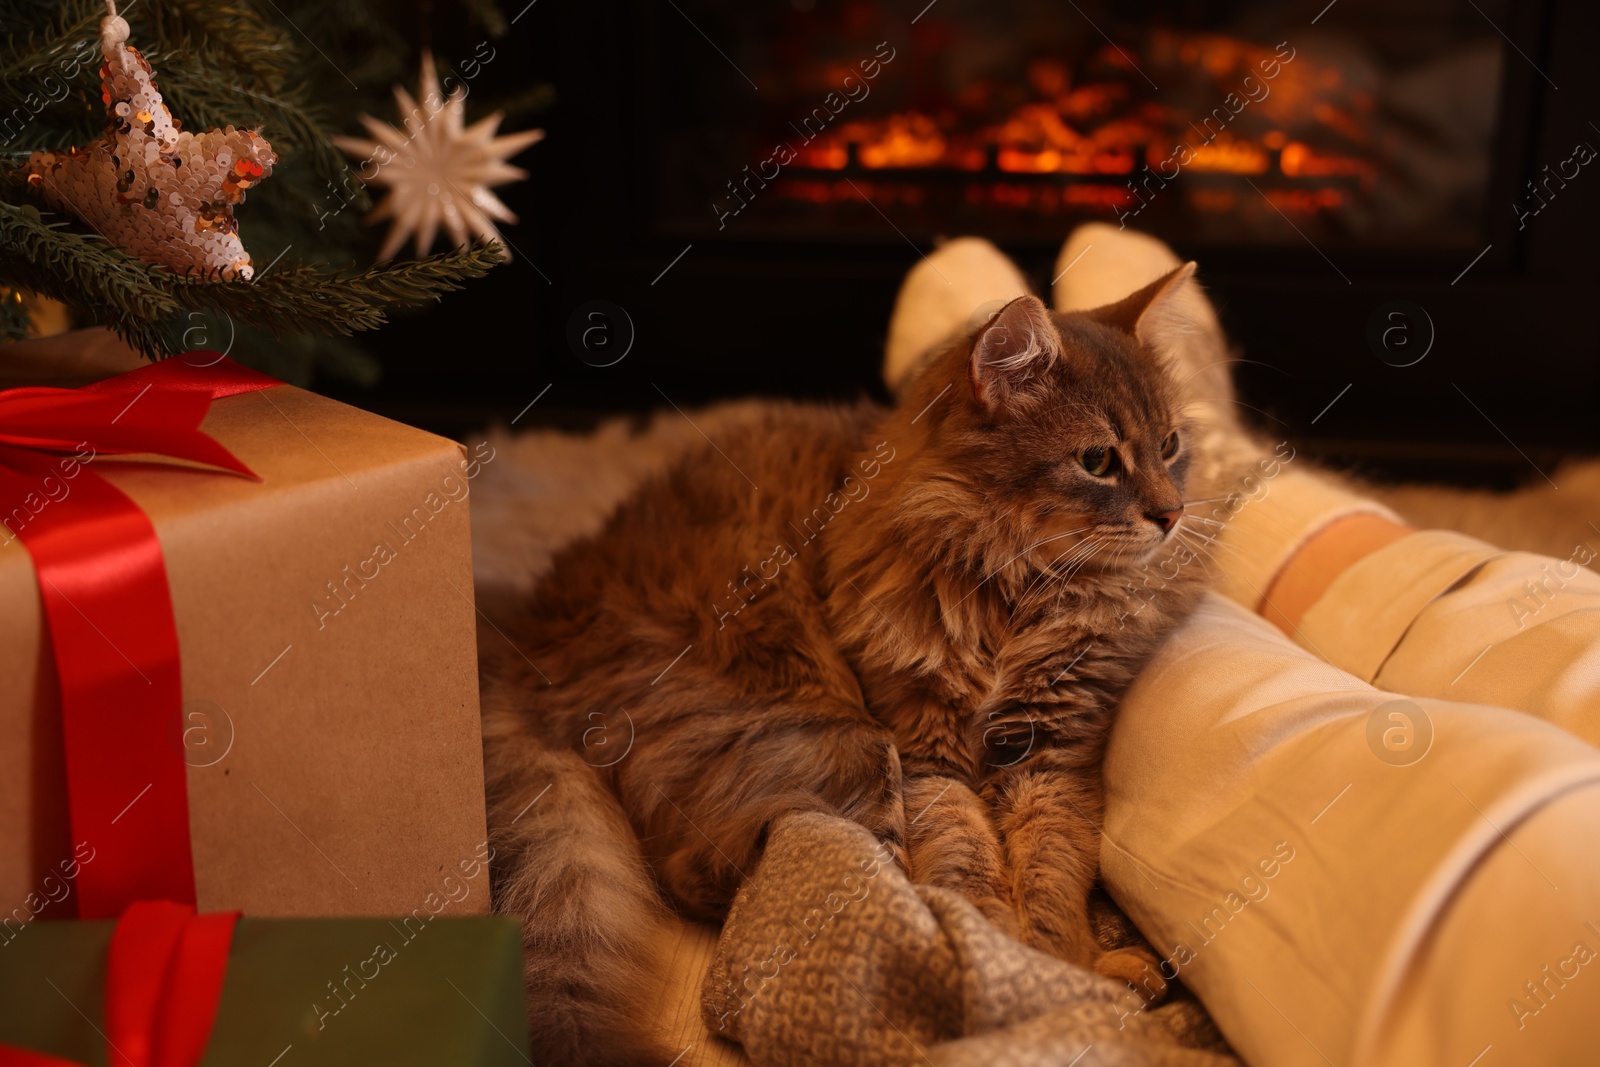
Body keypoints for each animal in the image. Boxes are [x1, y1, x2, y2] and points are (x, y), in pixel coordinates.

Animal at [480, 262, 1203, 1062]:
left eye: (1171, 445)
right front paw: (1009, 962)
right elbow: (967, 862)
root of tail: (535, 623)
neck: (1017, 591)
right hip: (831, 731)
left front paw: (1064, 962)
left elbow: (1052, 871)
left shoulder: (1051, 751)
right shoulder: (923, 749)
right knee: (713, 873)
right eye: (1097, 460)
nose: (1171, 514)